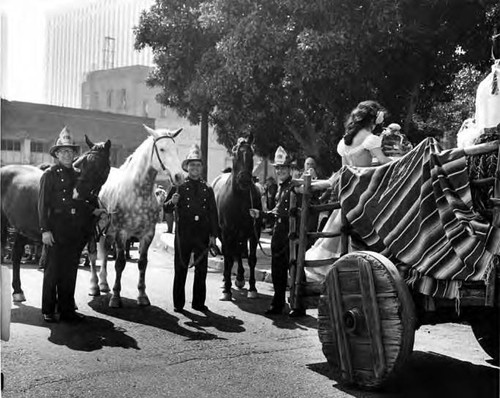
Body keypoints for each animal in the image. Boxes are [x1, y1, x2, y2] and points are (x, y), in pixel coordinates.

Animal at [0, 137, 111, 302]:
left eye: (100, 166)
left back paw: (18, 291)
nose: (77, 194)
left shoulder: (80, 242)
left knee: (16, 253)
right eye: (84, 163)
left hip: (22, 227)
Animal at [89, 124, 184, 308]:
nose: (179, 176)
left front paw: (142, 295)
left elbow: (142, 263)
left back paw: (104, 284)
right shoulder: (122, 233)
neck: (138, 193)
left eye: (176, 149)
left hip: (108, 232)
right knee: (93, 255)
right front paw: (116, 297)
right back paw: (95, 286)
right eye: (162, 149)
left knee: (104, 252)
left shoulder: (147, 234)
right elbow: (120, 263)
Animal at [212, 135, 262, 300]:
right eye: (235, 154)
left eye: (252, 154)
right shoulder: (227, 233)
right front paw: (226, 290)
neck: (239, 199)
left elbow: (251, 259)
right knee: (230, 254)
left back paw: (240, 278)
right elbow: (228, 258)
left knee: (239, 253)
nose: (244, 180)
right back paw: (226, 280)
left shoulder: (254, 232)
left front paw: (253, 288)